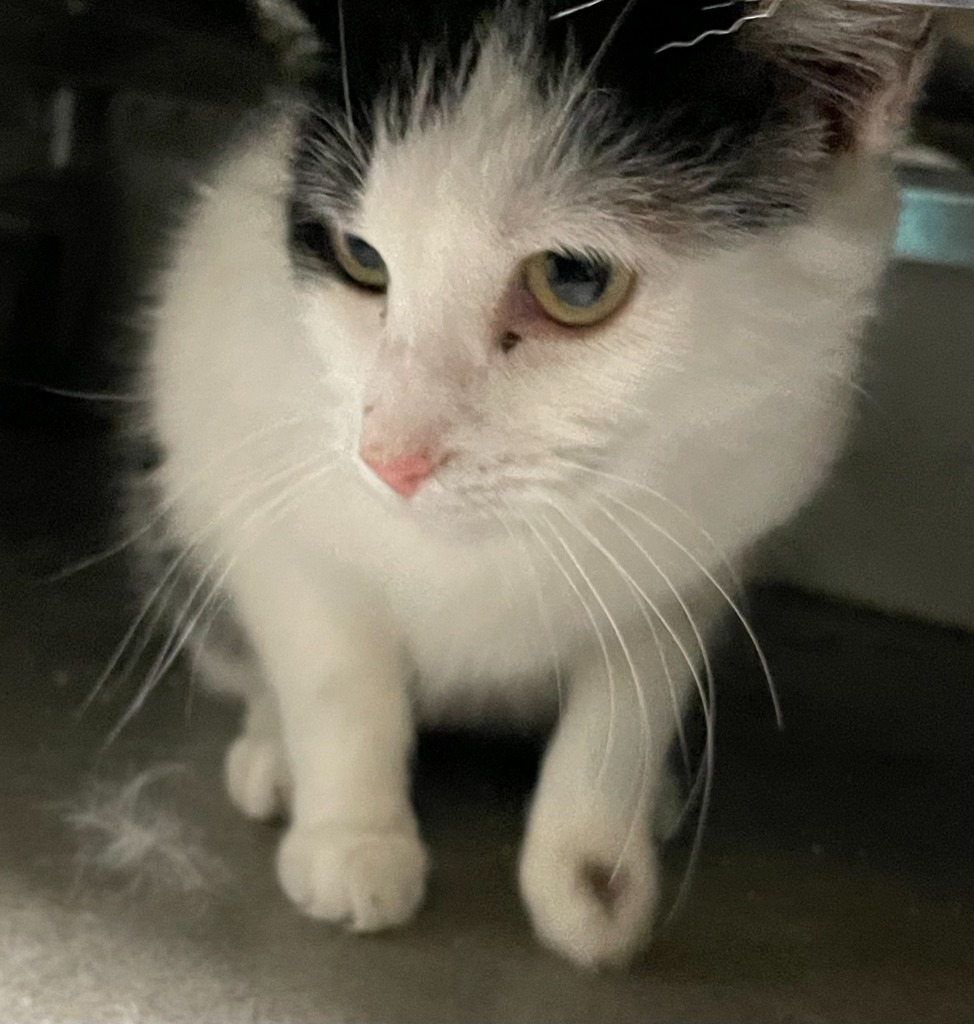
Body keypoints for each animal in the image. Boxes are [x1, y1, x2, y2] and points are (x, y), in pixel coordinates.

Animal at [139, 0, 938, 970]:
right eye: (360, 257)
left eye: (574, 281)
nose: (390, 456)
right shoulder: (270, 481)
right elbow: (337, 676)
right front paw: (353, 837)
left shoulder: (706, 547)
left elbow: (624, 712)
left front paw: (590, 876)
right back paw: (274, 753)